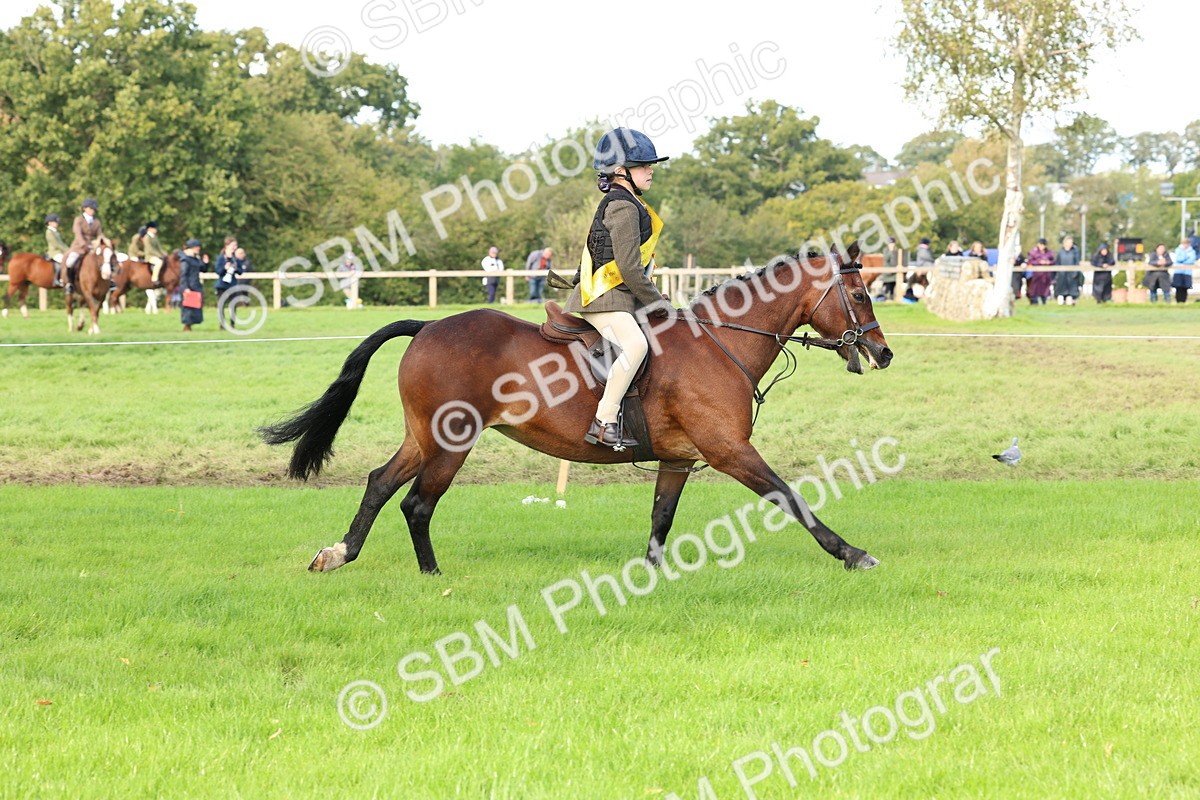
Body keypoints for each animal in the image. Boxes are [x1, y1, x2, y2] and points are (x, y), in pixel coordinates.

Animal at [261, 243, 893, 576]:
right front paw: (852, 553)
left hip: (424, 438)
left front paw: (650, 575)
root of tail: (429, 327)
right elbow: (792, 498)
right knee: (417, 504)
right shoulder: (730, 450)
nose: (883, 352)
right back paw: (432, 575)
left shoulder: (679, 459)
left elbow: (661, 518)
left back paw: (339, 553)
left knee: (378, 483)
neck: (721, 342)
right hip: (452, 442)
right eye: (861, 294)